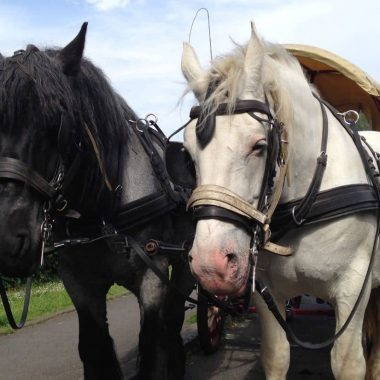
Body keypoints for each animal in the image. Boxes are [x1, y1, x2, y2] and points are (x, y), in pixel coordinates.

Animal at [0, 24, 194, 380]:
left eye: (56, 123)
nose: (6, 242)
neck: (103, 210)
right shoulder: (78, 282)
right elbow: (95, 348)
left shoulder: (153, 273)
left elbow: (152, 344)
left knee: (173, 318)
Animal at [180, 23, 380, 380]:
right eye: (187, 153)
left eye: (259, 145)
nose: (211, 266)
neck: (304, 205)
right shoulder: (267, 290)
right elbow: (276, 356)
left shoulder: (354, 285)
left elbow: (347, 362)